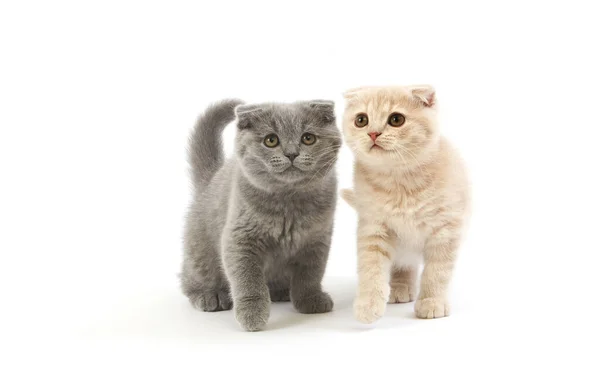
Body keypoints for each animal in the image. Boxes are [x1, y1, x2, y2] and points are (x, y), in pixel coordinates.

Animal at [182, 98, 342, 330]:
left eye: (308, 138)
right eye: (271, 140)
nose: (291, 153)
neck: (289, 203)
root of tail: (211, 178)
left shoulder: (317, 241)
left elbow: (310, 274)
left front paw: (310, 300)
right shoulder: (240, 240)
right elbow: (249, 280)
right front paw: (252, 315)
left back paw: (282, 291)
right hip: (201, 250)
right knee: (191, 277)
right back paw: (210, 295)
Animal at [340, 85, 472, 322]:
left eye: (396, 119)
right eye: (361, 120)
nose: (373, 133)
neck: (399, 181)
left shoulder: (446, 230)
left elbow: (437, 271)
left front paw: (432, 301)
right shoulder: (374, 227)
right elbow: (371, 267)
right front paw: (368, 304)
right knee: (404, 264)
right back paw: (400, 287)